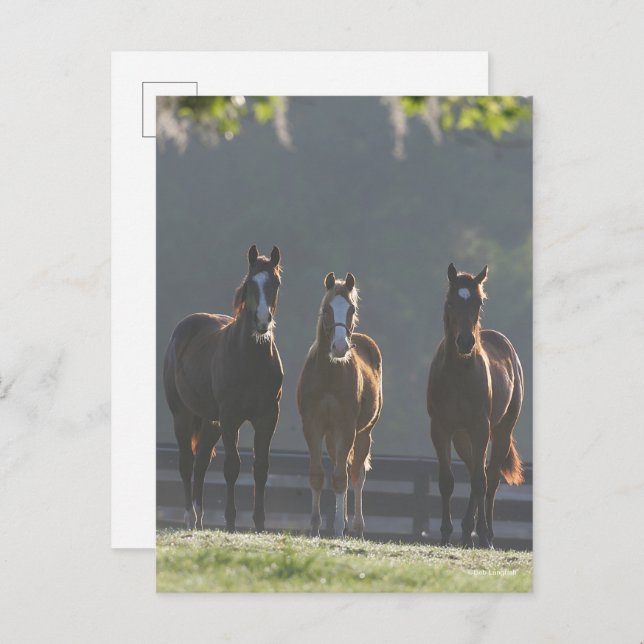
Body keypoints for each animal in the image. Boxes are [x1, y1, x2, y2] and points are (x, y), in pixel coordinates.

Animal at [163, 244, 284, 532]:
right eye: (250, 284)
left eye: (275, 283)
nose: (262, 320)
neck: (251, 359)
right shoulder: (231, 417)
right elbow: (232, 467)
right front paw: (230, 522)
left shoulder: (267, 416)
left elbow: (261, 467)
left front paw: (259, 524)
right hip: (183, 414)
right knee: (187, 463)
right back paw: (189, 517)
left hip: (210, 422)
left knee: (201, 463)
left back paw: (199, 518)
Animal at [297, 272, 383, 539]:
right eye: (327, 309)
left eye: (351, 308)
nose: (340, 347)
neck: (329, 374)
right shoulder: (313, 426)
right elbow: (317, 474)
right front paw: (314, 527)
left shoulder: (346, 428)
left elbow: (341, 479)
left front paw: (336, 529)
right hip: (332, 436)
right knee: (341, 466)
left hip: (363, 433)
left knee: (355, 475)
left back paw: (356, 527)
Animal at [427, 263, 524, 549]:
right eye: (450, 302)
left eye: (478, 302)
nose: (465, 342)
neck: (458, 375)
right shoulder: (441, 428)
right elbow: (447, 481)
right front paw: (445, 533)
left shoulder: (481, 428)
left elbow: (481, 481)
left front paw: (479, 533)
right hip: (462, 437)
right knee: (474, 470)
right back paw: (466, 530)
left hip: (500, 432)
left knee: (489, 478)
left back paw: (485, 533)